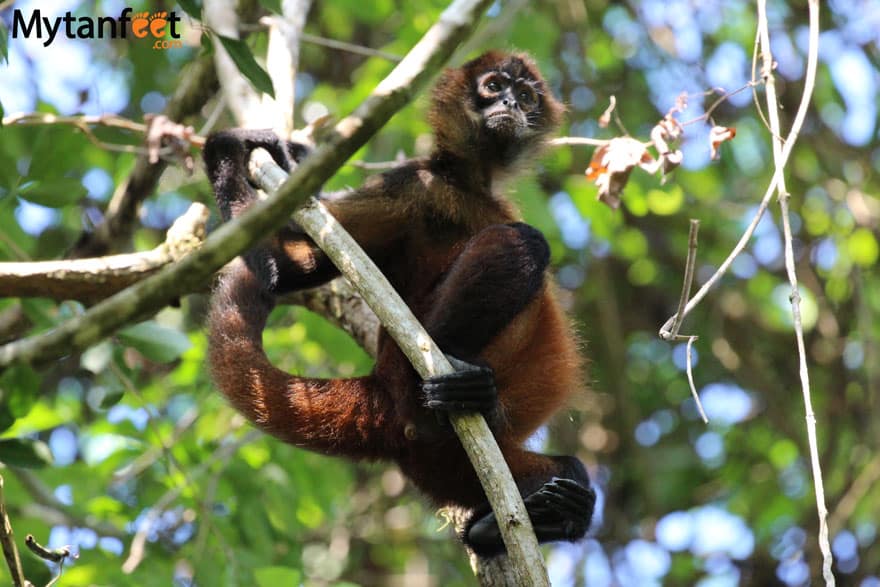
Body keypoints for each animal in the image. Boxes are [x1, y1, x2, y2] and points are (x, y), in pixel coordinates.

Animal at [203, 51, 596, 556]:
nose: (509, 103)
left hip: (458, 468)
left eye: (526, 96)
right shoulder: (411, 182)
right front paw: (225, 148)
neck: (463, 182)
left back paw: (506, 523)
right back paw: (456, 397)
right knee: (524, 243)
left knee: (570, 473)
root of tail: (381, 388)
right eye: (494, 86)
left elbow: (276, 269)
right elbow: (279, 270)